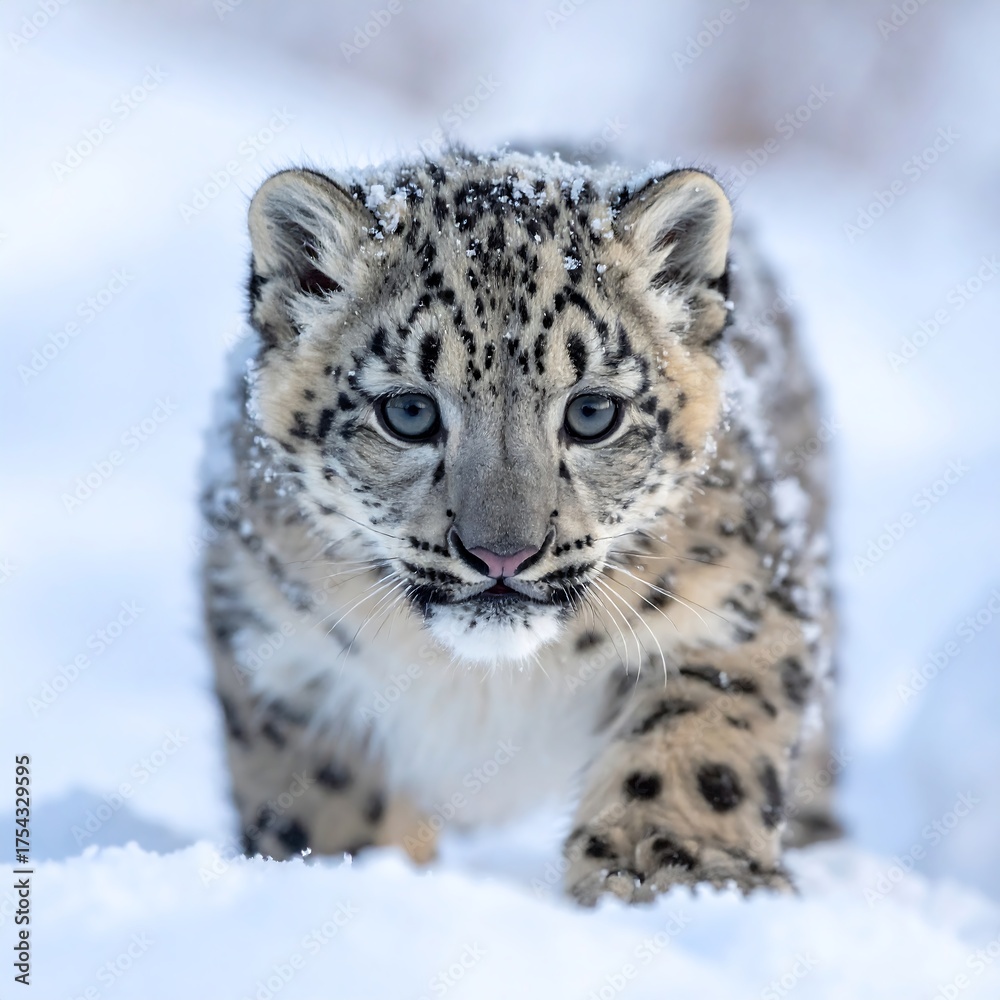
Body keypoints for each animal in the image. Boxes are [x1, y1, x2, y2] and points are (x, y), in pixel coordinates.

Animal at [200, 147, 838, 905]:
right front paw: (350, 871)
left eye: (592, 412)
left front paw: (673, 872)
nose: (501, 555)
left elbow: (699, 750)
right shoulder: (282, 652)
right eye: (408, 412)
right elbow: (327, 795)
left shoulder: (727, 607)